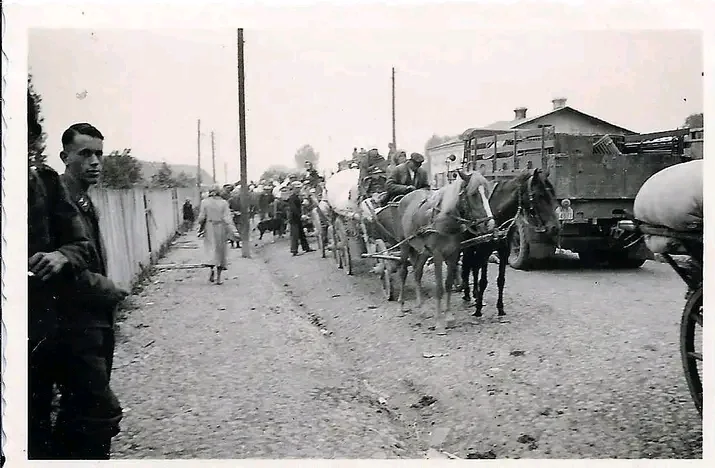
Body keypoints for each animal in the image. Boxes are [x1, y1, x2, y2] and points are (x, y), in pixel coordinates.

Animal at [398, 170, 498, 334]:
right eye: (473, 194)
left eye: (487, 193)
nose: (489, 224)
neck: (444, 219)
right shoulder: (438, 255)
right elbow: (439, 288)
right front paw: (439, 322)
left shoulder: (453, 254)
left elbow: (449, 284)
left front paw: (449, 316)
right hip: (405, 245)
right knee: (403, 273)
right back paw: (400, 306)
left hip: (424, 252)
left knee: (417, 272)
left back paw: (422, 307)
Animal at [462, 168, 564, 318]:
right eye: (539, 195)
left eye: (552, 194)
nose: (555, 227)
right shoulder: (485, 250)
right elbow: (483, 281)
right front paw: (478, 309)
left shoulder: (504, 251)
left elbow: (501, 280)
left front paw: (500, 308)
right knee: (467, 265)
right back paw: (468, 294)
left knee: (474, 267)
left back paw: (474, 293)